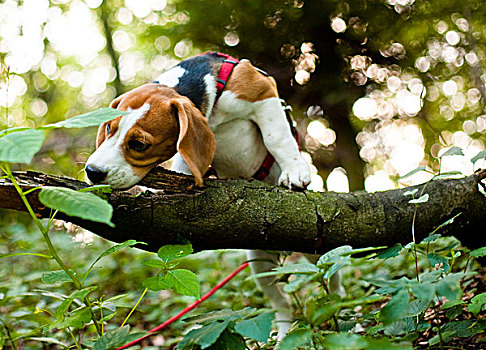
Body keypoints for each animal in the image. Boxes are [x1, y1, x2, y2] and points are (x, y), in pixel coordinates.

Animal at [83, 53, 312, 340]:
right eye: (109, 129)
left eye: (138, 144)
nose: (92, 172)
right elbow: (183, 164)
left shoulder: (263, 94)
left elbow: (277, 138)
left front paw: (295, 170)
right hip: (261, 266)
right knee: (281, 302)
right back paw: (283, 333)